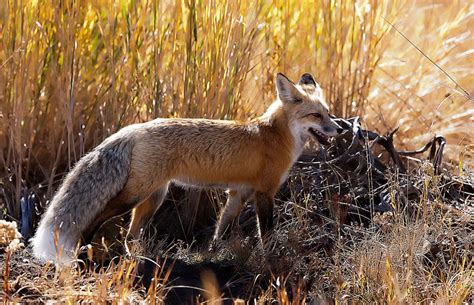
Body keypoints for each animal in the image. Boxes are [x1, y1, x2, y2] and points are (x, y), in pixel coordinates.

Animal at [32, 72, 344, 264]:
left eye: (328, 112)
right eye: (316, 115)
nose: (340, 129)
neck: (274, 135)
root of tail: (136, 128)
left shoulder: (238, 194)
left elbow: (221, 229)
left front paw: (212, 256)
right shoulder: (264, 193)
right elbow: (267, 233)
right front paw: (271, 259)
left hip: (153, 198)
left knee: (130, 235)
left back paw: (136, 259)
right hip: (135, 196)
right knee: (99, 215)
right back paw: (82, 249)